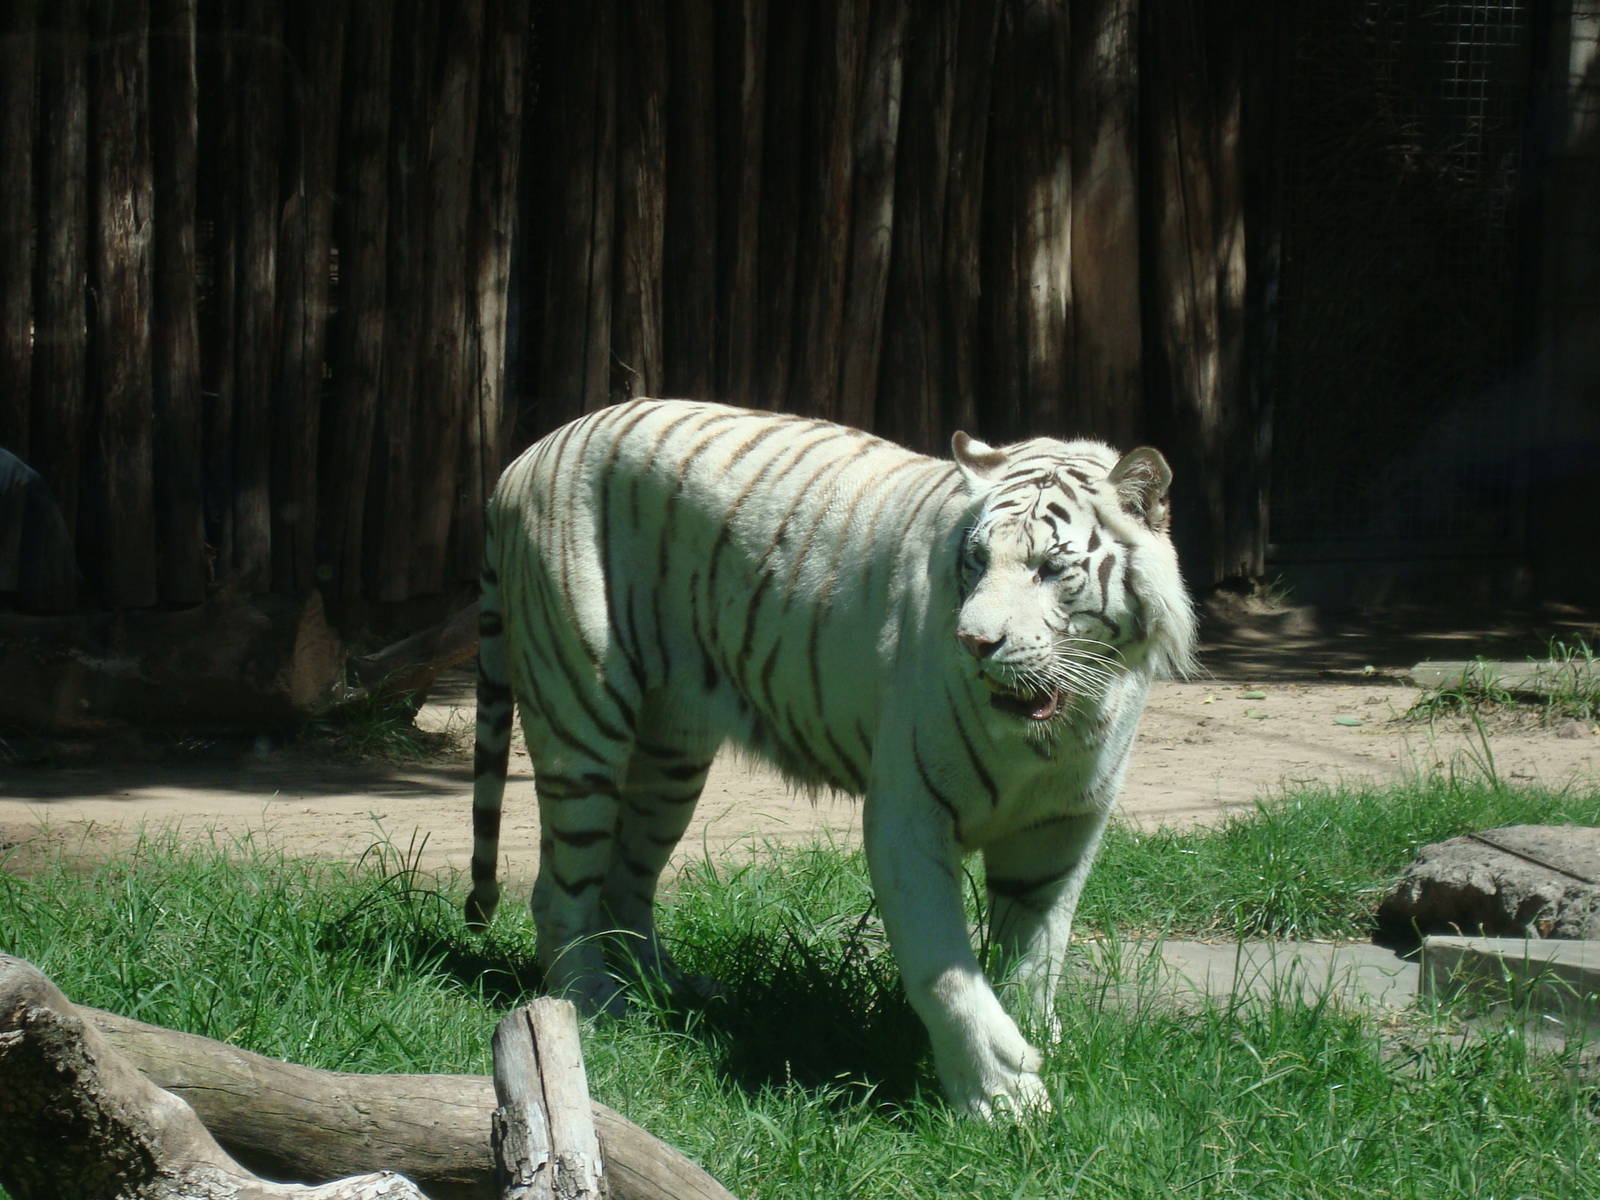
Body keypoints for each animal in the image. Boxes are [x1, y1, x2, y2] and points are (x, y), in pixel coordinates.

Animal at [465, 397, 1195, 1117]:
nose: (973, 641)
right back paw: (591, 1006)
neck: (1058, 728)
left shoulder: (1062, 826)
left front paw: (1034, 1036)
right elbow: (944, 967)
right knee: (559, 890)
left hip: (671, 757)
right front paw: (1000, 1092)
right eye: (976, 562)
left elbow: (1038, 954)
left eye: (1049, 569)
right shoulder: (909, 816)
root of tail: (523, 459)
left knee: (626, 883)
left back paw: (668, 991)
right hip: (581, 714)